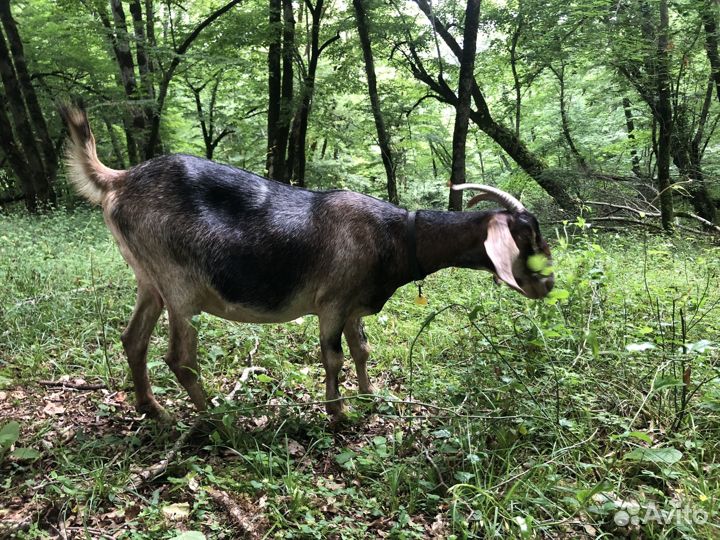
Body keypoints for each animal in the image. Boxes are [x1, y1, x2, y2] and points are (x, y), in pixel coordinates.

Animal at [60, 105, 554, 422]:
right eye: (527, 235)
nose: (547, 285)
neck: (394, 235)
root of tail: (118, 179)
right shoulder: (332, 302)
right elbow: (332, 356)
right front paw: (339, 413)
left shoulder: (354, 305)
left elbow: (362, 349)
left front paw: (370, 395)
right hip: (180, 284)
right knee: (180, 357)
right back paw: (214, 418)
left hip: (149, 280)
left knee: (133, 340)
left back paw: (154, 411)